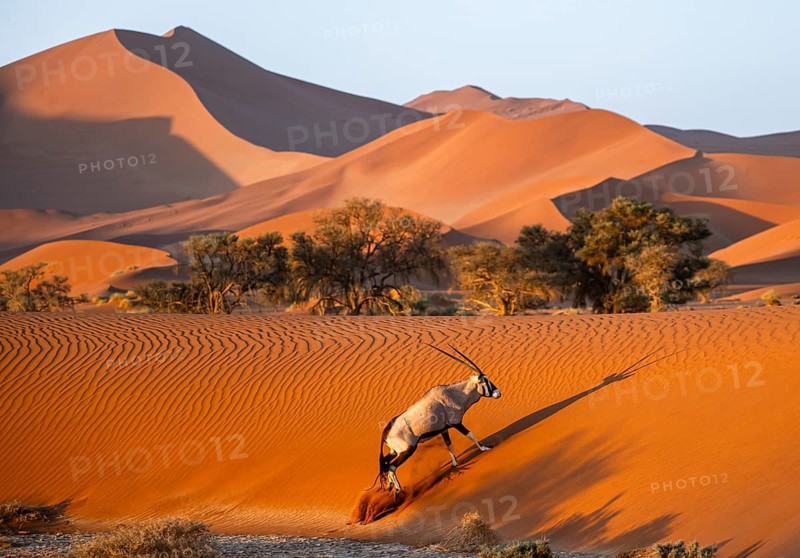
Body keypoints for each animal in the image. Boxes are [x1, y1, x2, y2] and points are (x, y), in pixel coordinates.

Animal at [376, 343, 502, 493]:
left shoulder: (444, 429)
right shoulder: (457, 423)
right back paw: (399, 490)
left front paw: (455, 463)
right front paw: (484, 448)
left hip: (395, 451)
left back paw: (392, 486)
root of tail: (385, 433)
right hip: (408, 450)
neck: (454, 394)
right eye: (486, 381)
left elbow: (449, 445)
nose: (498, 393)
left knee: (385, 463)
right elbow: (470, 434)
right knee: (391, 467)